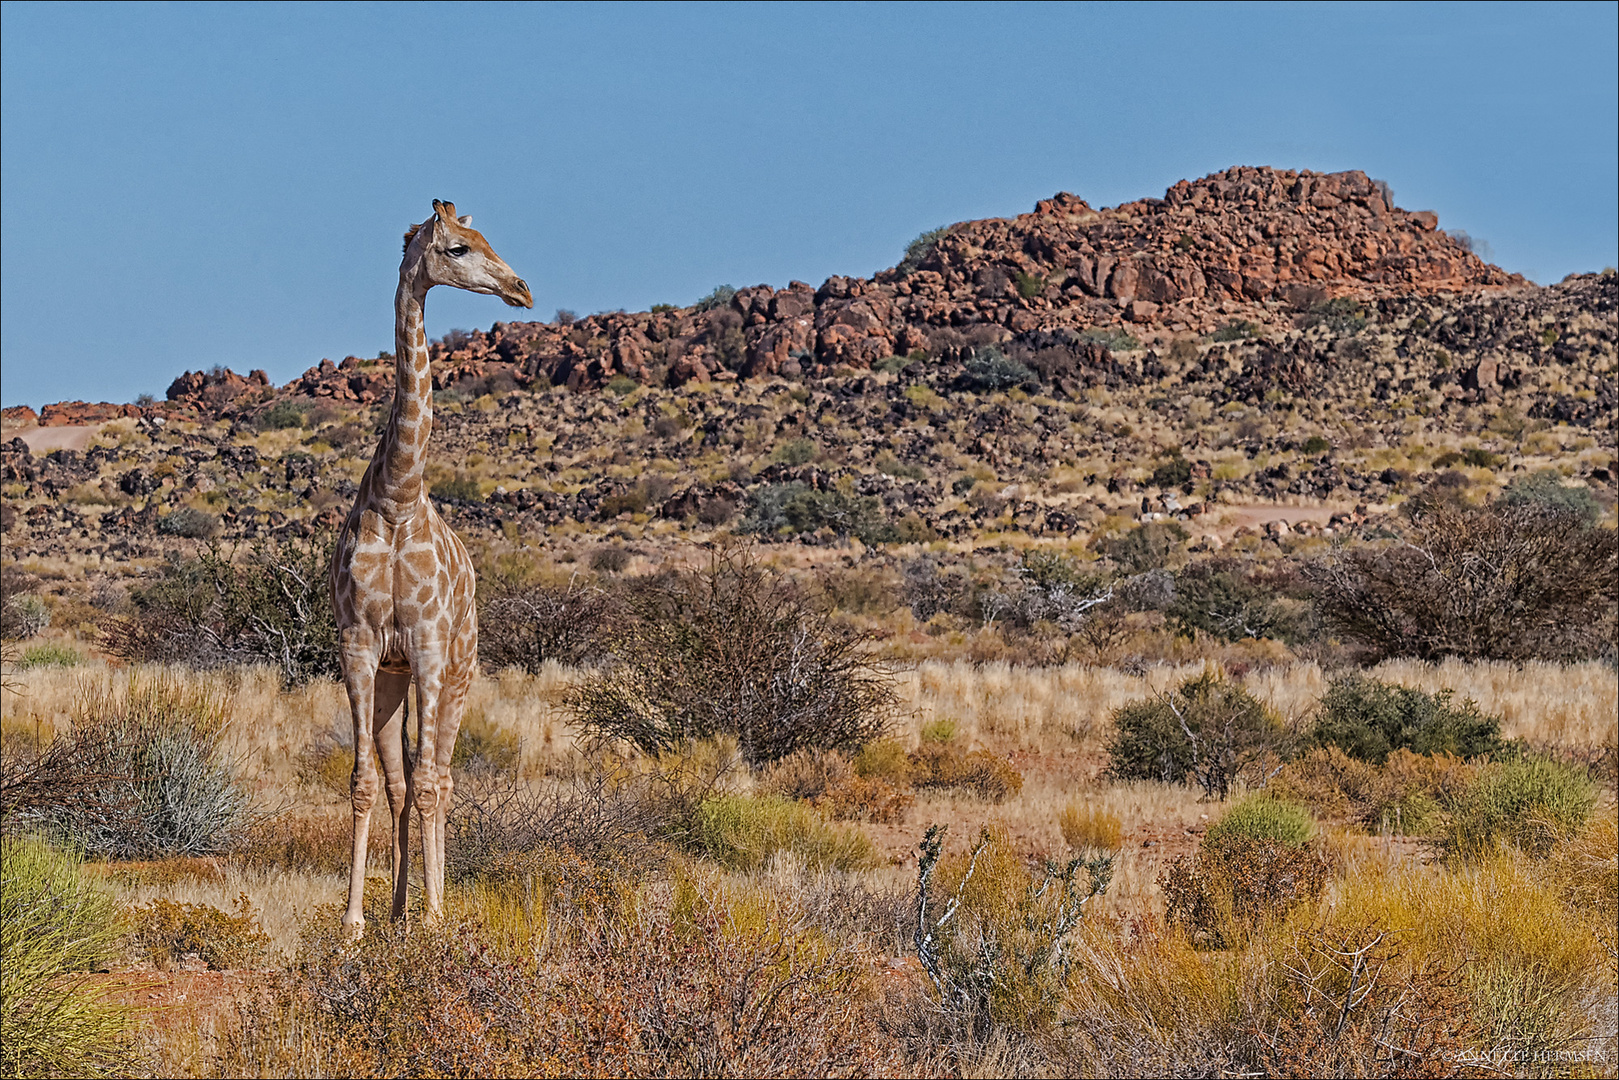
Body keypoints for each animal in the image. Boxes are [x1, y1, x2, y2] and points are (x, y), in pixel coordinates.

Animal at [328, 200, 531, 939]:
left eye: (484, 238)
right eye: (458, 247)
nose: (521, 290)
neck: (396, 497)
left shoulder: (428, 643)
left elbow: (426, 782)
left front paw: (436, 917)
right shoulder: (361, 645)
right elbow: (366, 782)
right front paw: (355, 924)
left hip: (461, 665)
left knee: (438, 778)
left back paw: (431, 912)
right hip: (399, 677)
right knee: (401, 780)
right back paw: (397, 911)